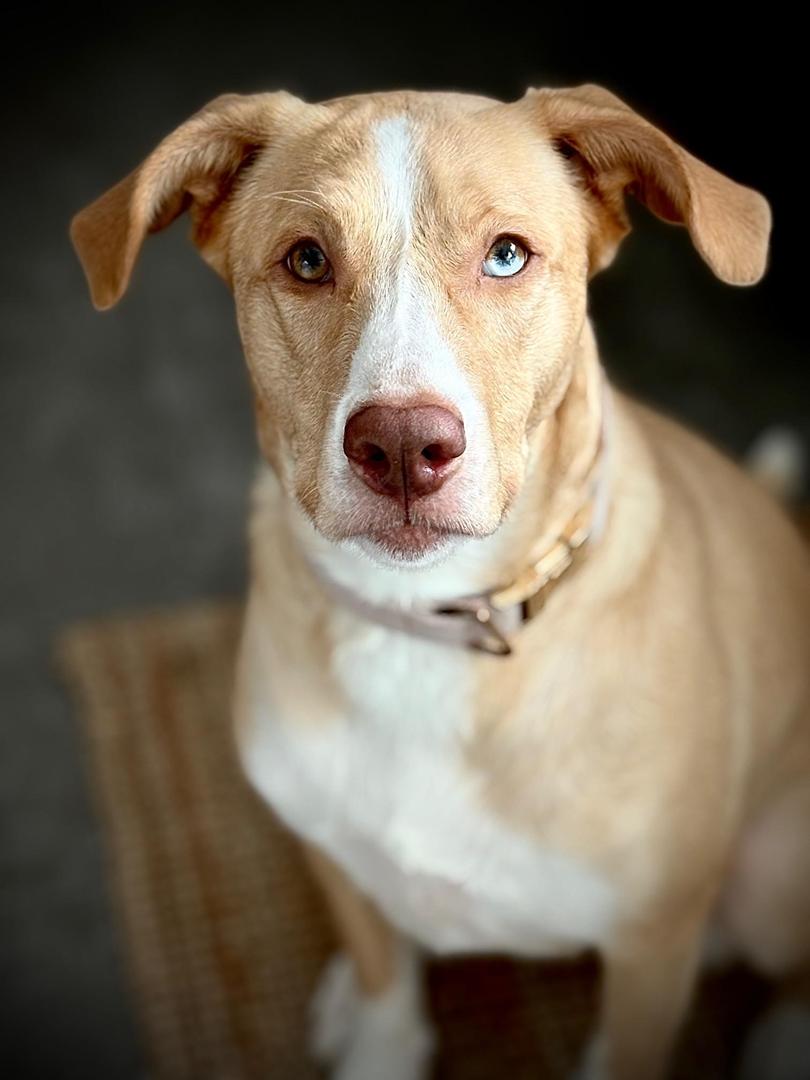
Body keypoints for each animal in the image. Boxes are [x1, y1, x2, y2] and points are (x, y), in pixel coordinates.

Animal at [71, 84, 810, 1080]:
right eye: (307, 260)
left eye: (507, 255)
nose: (401, 447)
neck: (424, 625)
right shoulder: (330, 850)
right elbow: (387, 987)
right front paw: (378, 1036)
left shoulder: (652, 946)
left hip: (769, 876)